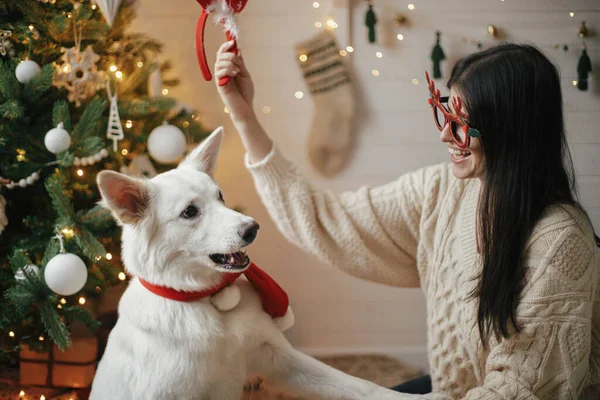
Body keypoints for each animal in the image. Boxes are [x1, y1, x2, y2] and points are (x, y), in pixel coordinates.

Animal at [90, 128, 436, 400]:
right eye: (190, 212)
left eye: (220, 197)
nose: (252, 229)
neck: (208, 301)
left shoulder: (280, 357)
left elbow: (363, 386)